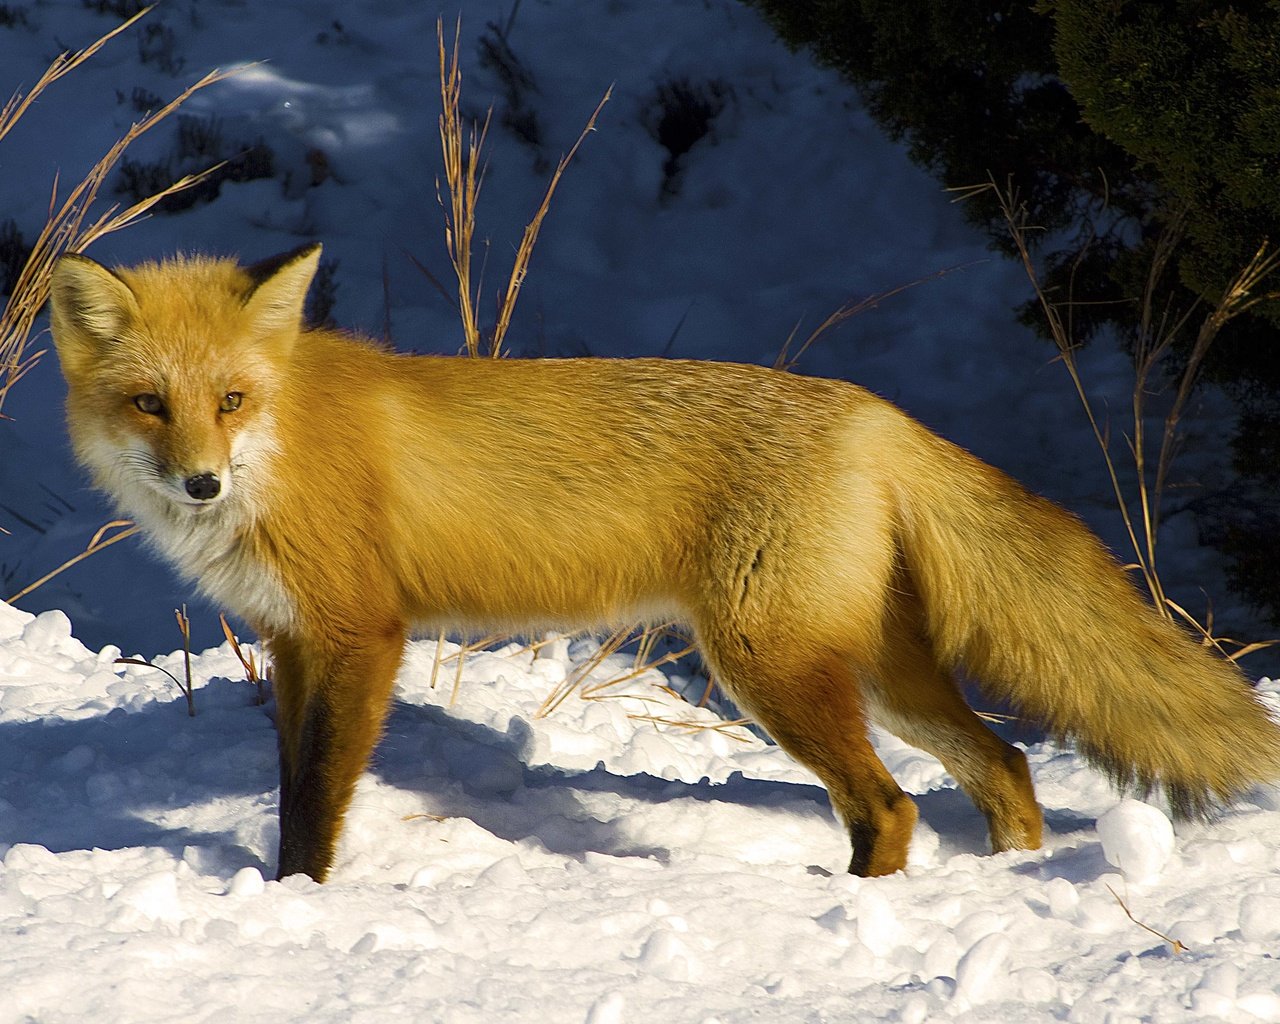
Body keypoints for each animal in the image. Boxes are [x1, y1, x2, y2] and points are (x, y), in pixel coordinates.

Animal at [49, 245, 1280, 880]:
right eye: (151, 404)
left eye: (230, 401)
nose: (200, 484)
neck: (287, 447)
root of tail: (870, 410)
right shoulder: (296, 641)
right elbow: (289, 787)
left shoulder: (362, 636)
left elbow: (315, 804)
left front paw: (299, 897)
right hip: (873, 671)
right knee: (1006, 766)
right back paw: (1007, 878)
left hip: (767, 665)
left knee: (890, 809)